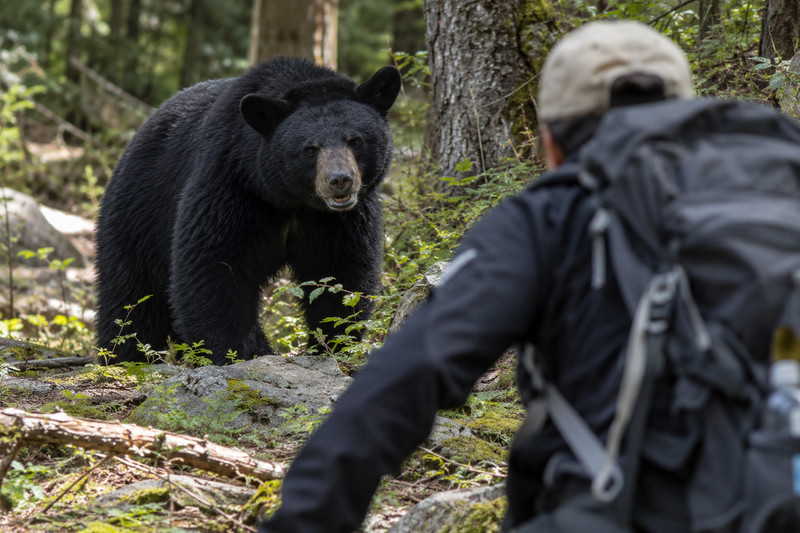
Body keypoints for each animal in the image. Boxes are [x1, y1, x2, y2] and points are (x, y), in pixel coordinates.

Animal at [94, 57, 402, 365]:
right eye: (310, 148)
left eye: (355, 140)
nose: (339, 180)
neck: (293, 201)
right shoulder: (231, 182)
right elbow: (215, 268)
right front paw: (237, 352)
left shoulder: (343, 220)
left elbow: (340, 275)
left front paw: (333, 345)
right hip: (139, 216)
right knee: (131, 299)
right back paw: (124, 357)